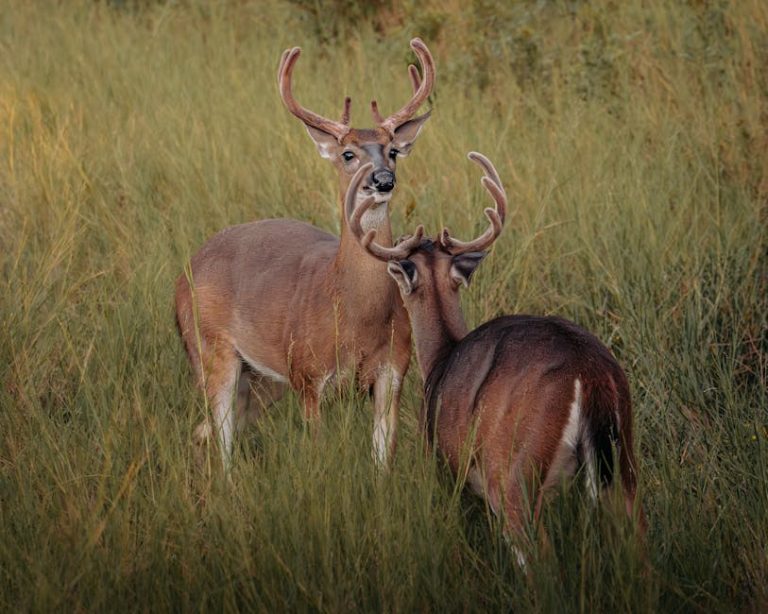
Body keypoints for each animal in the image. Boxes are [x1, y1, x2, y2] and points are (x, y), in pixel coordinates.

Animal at [175, 39, 435, 469]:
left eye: (394, 151)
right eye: (348, 154)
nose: (383, 180)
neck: (352, 311)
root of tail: (183, 275)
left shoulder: (393, 371)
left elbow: (383, 460)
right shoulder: (308, 374)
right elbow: (317, 452)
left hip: (262, 377)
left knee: (208, 432)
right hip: (210, 348)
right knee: (221, 438)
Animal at [348, 152, 645, 564]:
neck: (440, 359)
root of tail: (589, 373)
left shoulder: (445, 464)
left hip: (512, 467)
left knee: (537, 550)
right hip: (625, 456)